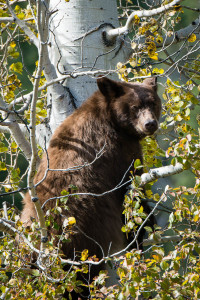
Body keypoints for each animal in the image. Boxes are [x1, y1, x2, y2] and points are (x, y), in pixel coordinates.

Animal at [20, 77, 161, 298]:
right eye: (134, 107)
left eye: (153, 103)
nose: (150, 124)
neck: (111, 120)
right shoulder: (118, 152)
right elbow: (130, 189)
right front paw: (143, 227)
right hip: (84, 240)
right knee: (82, 276)